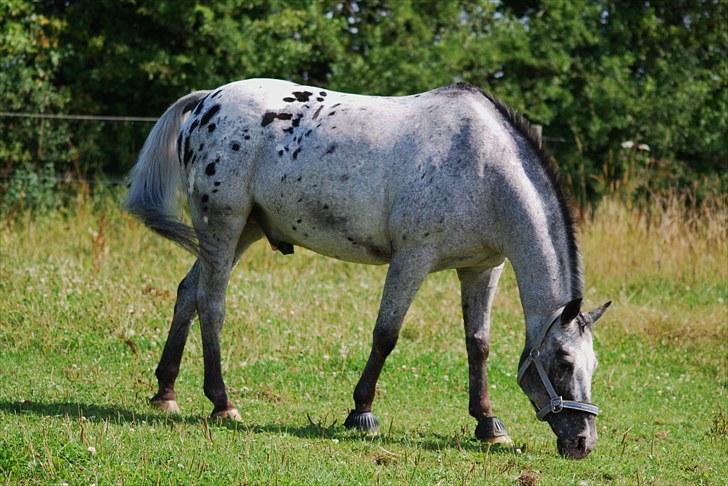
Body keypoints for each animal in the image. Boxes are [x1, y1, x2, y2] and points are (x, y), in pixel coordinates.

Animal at [123, 79, 608, 460]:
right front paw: (362, 412)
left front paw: (488, 425)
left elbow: (478, 345)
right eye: (563, 363)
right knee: (211, 304)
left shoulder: (481, 269)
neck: (485, 168)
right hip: (223, 226)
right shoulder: (412, 259)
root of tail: (208, 101)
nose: (582, 443)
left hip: (243, 231)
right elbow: (386, 334)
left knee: (188, 292)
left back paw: (166, 392)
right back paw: (221, 402)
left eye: (593, 365)